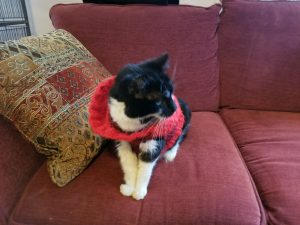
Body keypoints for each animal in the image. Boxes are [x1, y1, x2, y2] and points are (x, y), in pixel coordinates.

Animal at [89, 53, 191, 200]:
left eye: (171, 93)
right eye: (159, 101)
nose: (174, 108)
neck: (133, 123)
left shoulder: (153, 139)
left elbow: (146, 166)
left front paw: (139, 191)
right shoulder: (119, 136)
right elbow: (127, 161)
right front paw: (129, 187)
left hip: (185, 114)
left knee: (178, 137)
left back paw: (170, 154)